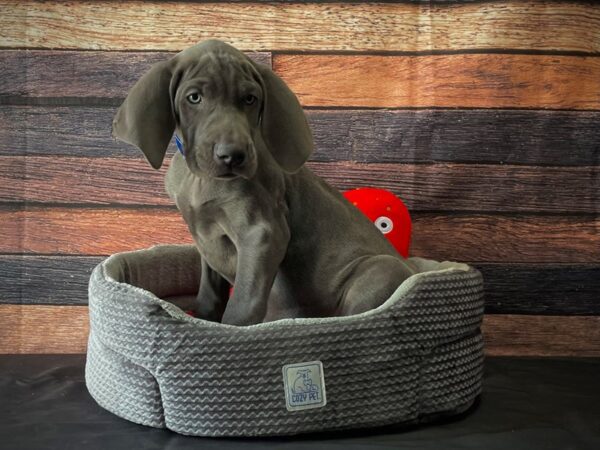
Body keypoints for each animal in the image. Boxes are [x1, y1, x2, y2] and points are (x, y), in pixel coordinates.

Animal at [112, 39, 414, 324]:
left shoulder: (262, 233)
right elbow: (209, 292)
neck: (199, 179)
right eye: (194, 98)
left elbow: (243, 304)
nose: (233, 155)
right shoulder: (205, 237)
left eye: (250, 99)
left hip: (381, 269)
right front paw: (203, 319)